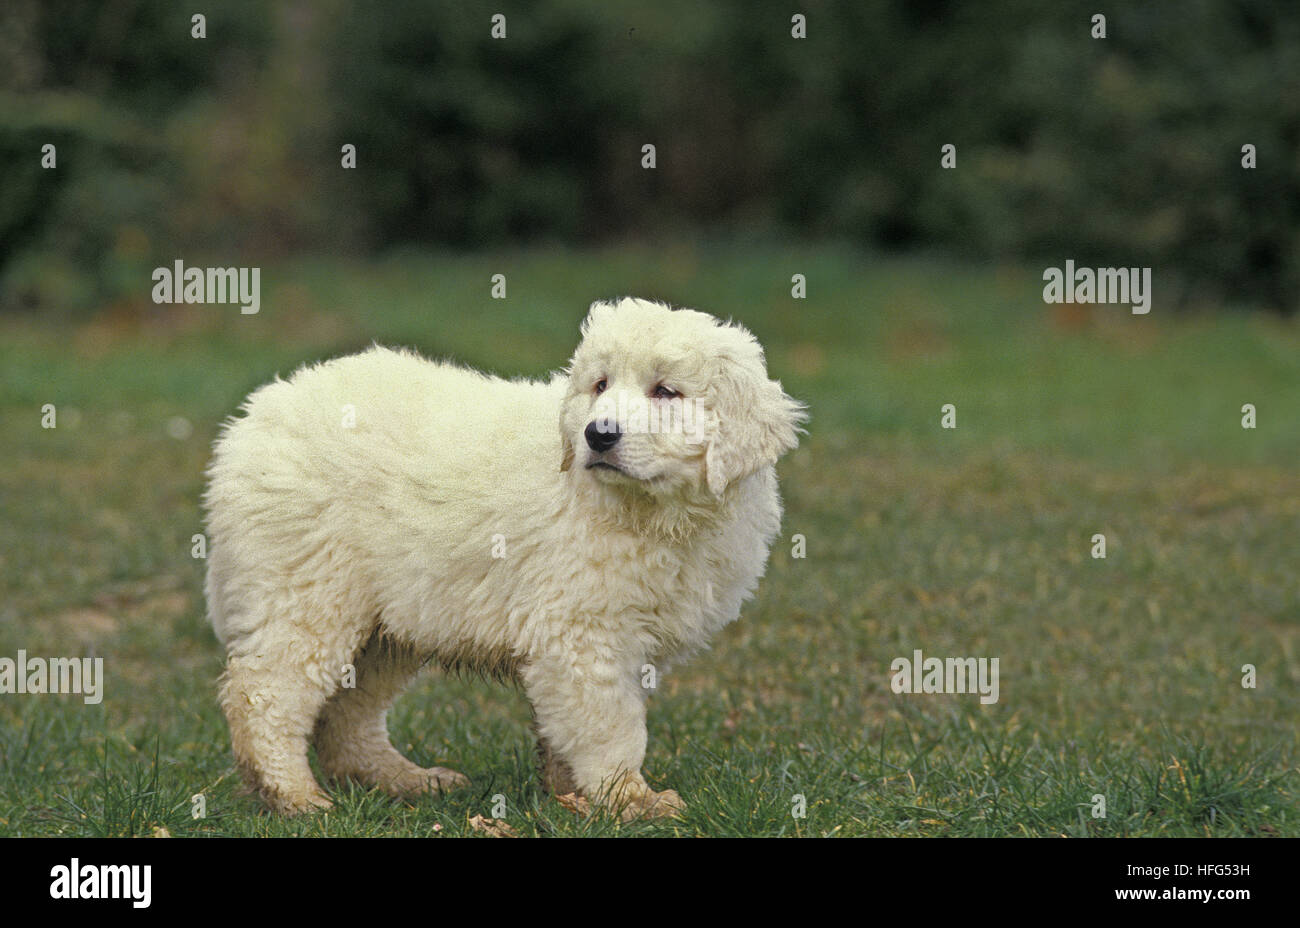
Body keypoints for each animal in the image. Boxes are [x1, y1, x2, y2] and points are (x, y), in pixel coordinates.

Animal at [202, 296, 800, 816]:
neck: (652, 511)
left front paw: (570, 795)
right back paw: (295, 797)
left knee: (348, 714)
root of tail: (254, 418)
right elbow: (610, 727)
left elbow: (566, 727)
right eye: (600, 385)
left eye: (667, 392)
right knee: (262, 694)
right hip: (307, 589)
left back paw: (405, 781)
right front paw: (629, 800)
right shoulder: (585, 635)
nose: (597, 435)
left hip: (385, 621)